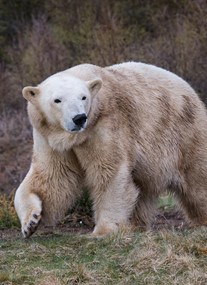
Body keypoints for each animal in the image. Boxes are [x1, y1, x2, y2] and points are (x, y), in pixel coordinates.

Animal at [14, 62, 207, 237]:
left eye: (83, 97)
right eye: (57, 100)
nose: (79, 118)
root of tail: (191, 91)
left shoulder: (105, 124)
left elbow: (109, 171)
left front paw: (103, 230)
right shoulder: (50, 138)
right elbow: (52, 177)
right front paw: (30, 222)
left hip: (184, 133)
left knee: (196, 181)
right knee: (142, 188)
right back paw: (135, 225)